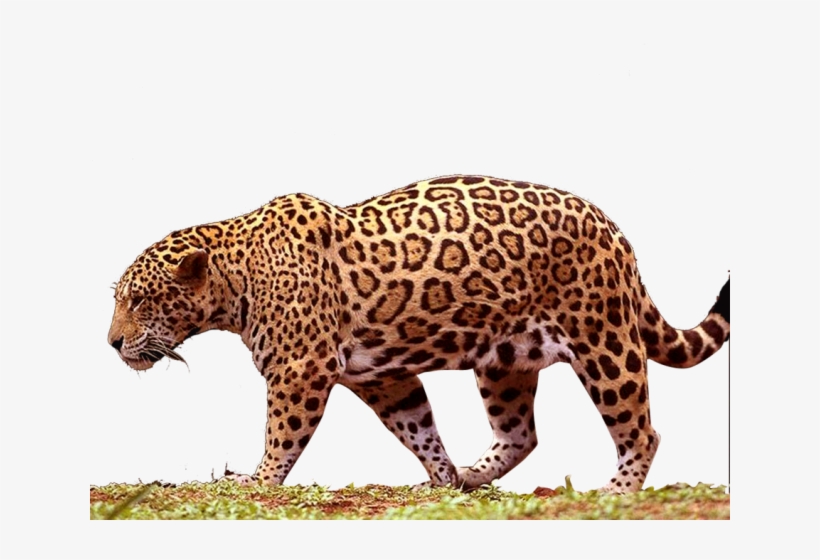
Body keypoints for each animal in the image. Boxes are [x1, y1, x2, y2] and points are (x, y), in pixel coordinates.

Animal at [108, 175, 729, 493]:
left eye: (138, 300)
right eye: (119, 300)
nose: (111, 343)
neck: (236, 277)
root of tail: (615, 229)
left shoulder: (301, 370)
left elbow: (282, 434)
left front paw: (257, 481)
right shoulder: (382, 379)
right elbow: (418, 427)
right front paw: (441, 477)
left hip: (604, 339)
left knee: (641, 429)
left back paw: (617, 492)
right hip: (504, 360)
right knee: (520, 434)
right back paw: (472, 475)